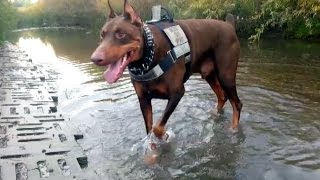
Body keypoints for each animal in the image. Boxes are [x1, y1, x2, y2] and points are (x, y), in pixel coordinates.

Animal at [90, 0, 242, 139]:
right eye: (102, 35)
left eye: (121, 34)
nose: (95, 58)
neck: (148, 60)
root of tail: (229, 25)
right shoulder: (143, 99)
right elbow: (149, 130)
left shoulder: (177, 92)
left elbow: (157, 127)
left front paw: (164, 135)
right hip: (209, 74)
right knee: (222, 97)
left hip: (225, 75)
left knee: (237, 104)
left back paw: (234, 130)